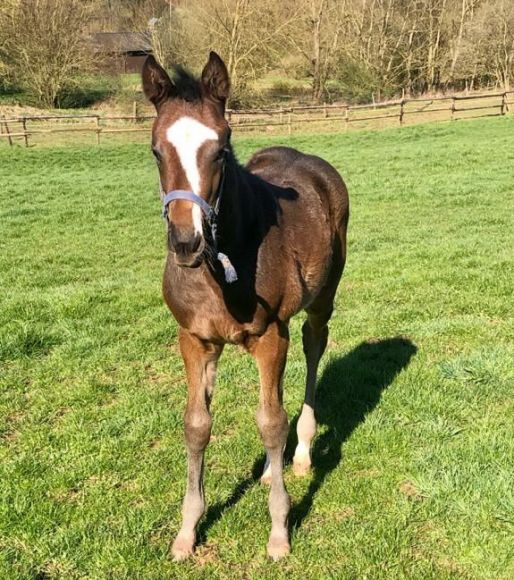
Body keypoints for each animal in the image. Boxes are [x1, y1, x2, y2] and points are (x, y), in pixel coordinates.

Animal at [141, 52, 348, 560]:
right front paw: (187, 530)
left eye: (220, 149)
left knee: (314, 349)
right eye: (156, 151)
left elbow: (271, 422)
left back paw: (300, 455)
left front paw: (279, 531)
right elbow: (197, 425)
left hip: (321, 302)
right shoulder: (194, 339)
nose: (186, 242)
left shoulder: (272, 333)